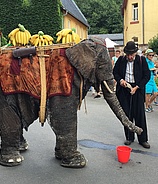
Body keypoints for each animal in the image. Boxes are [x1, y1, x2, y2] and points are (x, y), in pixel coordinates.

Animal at [0, 38, 142, 168]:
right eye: (102, 66)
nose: (140, 131)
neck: (78, 45)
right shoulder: (63, 82)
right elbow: (61, 116)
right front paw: (78, 162)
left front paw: (60, 156)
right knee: (11, 119)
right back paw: (13, 160)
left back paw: (20, 148)